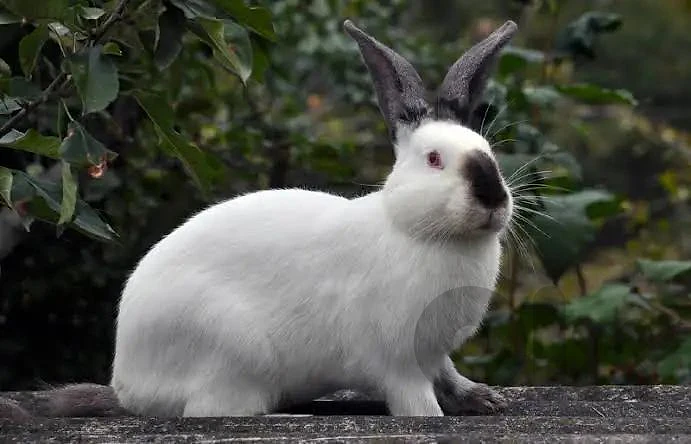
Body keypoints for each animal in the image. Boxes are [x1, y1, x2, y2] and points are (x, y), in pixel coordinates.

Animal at [0, 19, 517, 420]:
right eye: (434, 159)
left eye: (488, 152)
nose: (493, 197)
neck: (418, 230)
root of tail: (127, 386)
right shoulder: (397, 361)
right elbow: (417, 403)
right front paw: (437, 415)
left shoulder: (435, 354)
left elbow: (449, 377)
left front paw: (484, 400)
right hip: (234, 351)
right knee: (210, 411)